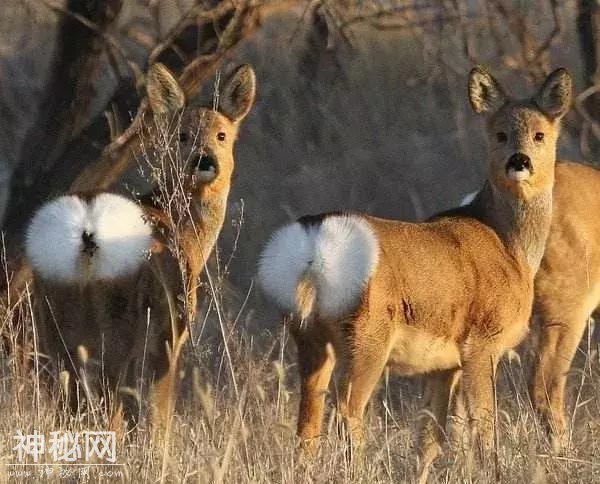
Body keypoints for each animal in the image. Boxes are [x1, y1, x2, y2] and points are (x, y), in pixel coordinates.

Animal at [24, 62, 255, 430]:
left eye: (222, 135)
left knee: (67, 395)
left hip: (53, 316)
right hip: (117, 318)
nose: (204, 160)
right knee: (106, 398)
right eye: (182, 135)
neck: (186, 233)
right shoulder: (171, 325)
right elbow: (159, 408)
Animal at [258, 65, 572, 480]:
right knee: (347, 410)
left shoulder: (443, 365)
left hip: (308, 334)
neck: (510, 247)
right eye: (500, 133)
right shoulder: (481, 343)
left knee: (307, 420)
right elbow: (483, 425)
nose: (519, 161)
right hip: (367, 335)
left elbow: (429, 438)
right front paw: (494, 472)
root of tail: (312, 241)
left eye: (540, 134)